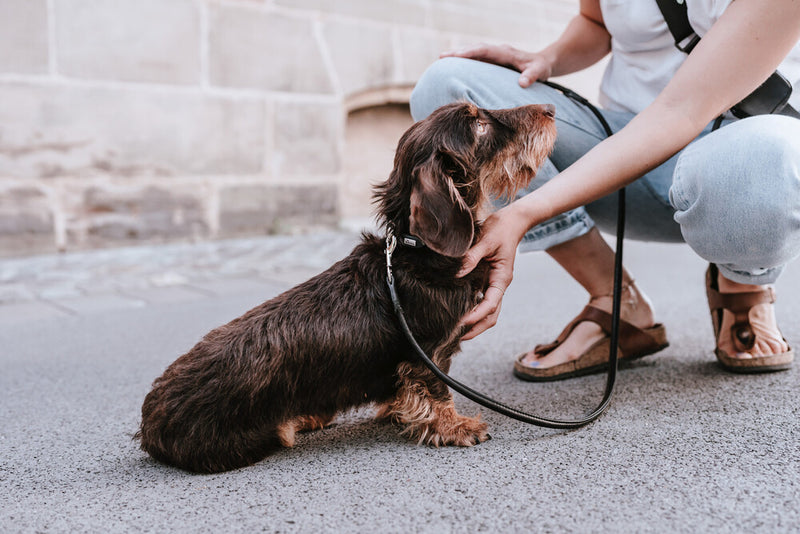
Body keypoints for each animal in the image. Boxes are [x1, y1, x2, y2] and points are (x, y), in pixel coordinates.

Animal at [136, 102, 556, 476]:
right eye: (479, 126)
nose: (550, 109)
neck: (419, 253)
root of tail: (150, 424)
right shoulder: (427, 354)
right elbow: (436, 391)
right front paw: (454, 427)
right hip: (256, 436)